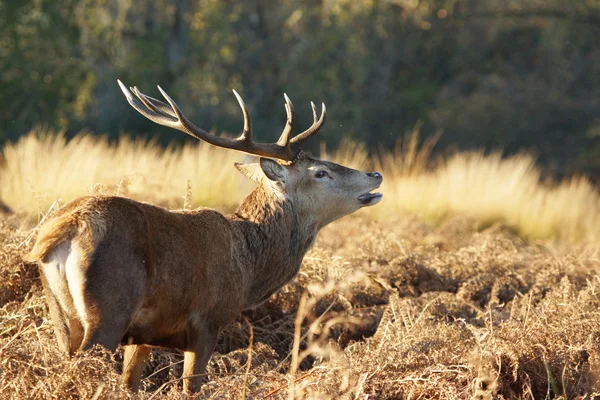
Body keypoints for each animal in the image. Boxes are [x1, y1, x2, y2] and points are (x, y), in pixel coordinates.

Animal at [24, 79, 384, 394]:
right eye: (320, 173)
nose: (375, 174)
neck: (249, 266)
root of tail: (65, 231)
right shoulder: (206, 323)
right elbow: (192, 387)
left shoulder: (143, 334)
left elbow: (130, 383)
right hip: (109, 307)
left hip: (61, 315)